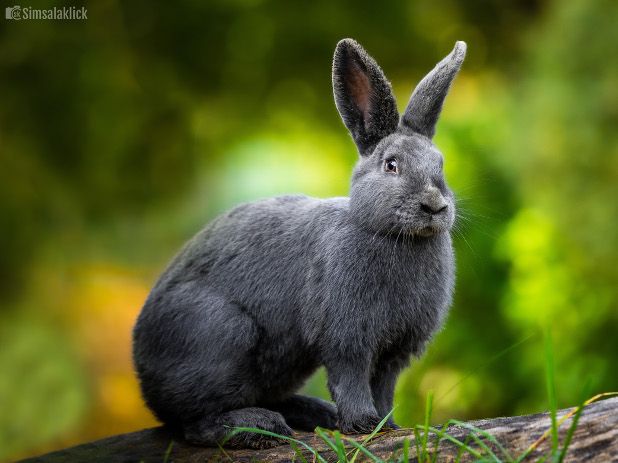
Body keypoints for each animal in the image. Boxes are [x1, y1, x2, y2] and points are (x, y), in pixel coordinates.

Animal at [132, 40, 464, 450]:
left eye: (440, 165)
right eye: (391, 165)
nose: (435, 206)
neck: (384, 231)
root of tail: (142, 371)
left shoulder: (394, 352)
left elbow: (383, 386)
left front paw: (389, 423)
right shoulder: (346, 336)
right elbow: (351, 379)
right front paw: (364, 423)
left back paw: (313, 414)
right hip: (220, 333)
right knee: (195, 422)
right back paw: (260, 426)